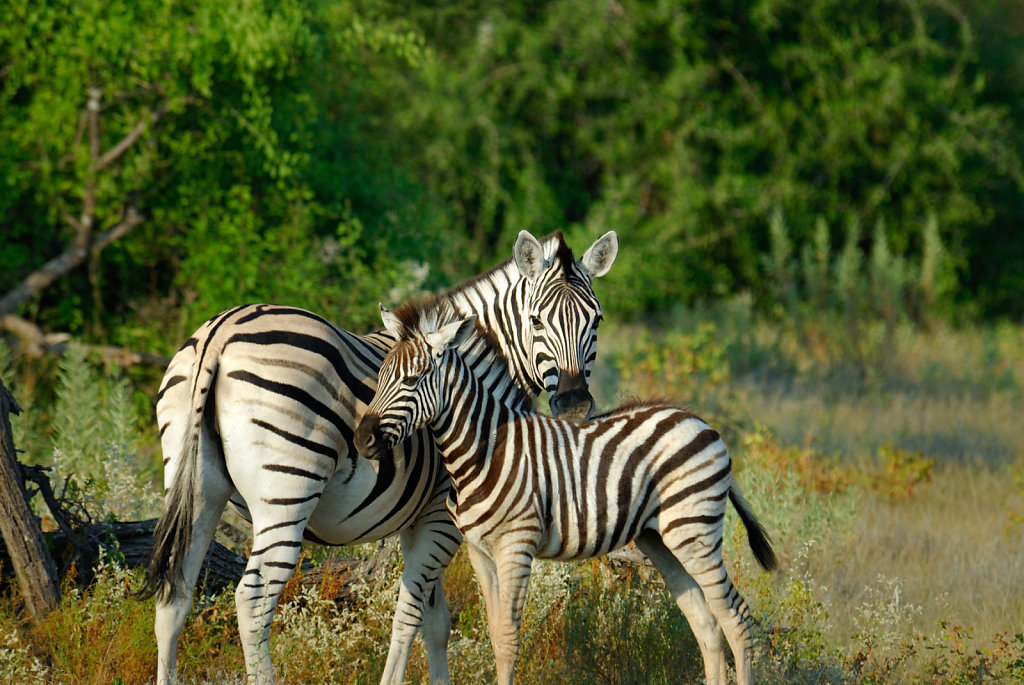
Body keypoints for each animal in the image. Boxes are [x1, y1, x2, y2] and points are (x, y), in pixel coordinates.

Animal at [141, 231, 618, 683]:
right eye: (536, 320)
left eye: (597, 320)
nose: (574, 404)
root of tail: (219, 334)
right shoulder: (442, 517)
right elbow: (410, 617)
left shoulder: (419, 521)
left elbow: (436, 624)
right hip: (288, 490)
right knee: (254, 600)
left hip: (197, 489)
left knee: (175, 595)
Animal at [356, 296, 778, 683]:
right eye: (380, 376)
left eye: (411, 380)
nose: (362, 440)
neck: (485, 450)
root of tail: (700, 421)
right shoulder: (479, 550)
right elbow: (493, 633)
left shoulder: (516, 545)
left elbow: (507, 638)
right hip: (660, 539)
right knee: (706, 623)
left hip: (694, 531)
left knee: (736, 618)